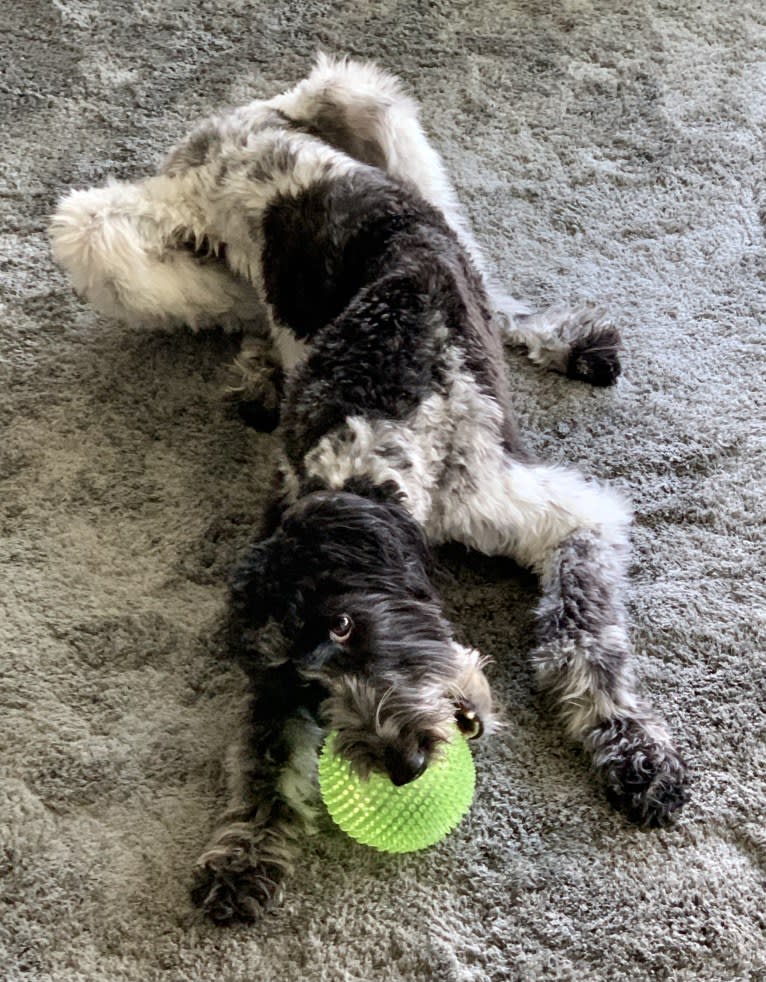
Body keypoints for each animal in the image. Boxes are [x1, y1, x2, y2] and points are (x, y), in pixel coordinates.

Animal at [51, 57, 692, 928]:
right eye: (301, 679)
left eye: (347, 624)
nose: (404, 762)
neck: (368, 426)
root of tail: (247, 118)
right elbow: (259, 747)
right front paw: (243, 850)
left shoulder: (564, 516)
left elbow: (580, 640)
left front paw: (633, 750)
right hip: (105, 237)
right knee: (240, 312)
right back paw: (260, 371)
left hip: (374, 111)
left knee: (487, 275)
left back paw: (567, 339)